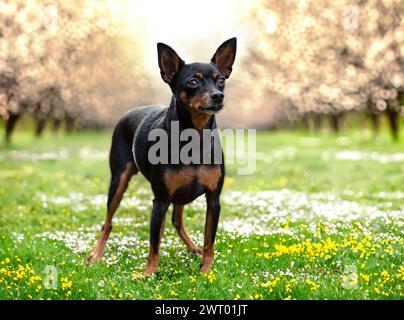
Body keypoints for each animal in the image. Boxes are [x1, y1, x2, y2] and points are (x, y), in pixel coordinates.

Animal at [87, 37, 235, 272]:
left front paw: (206, 270)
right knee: (108, 222)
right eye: (193, 82)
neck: (195, 137)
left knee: (176, 221)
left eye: (220, 80)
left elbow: (209, 240)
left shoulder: (213, 200)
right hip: (119, 180)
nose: (218, 96)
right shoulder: (161, 199)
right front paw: (149, 273)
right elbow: (154, 243)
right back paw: (96, 254)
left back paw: (194, 249)